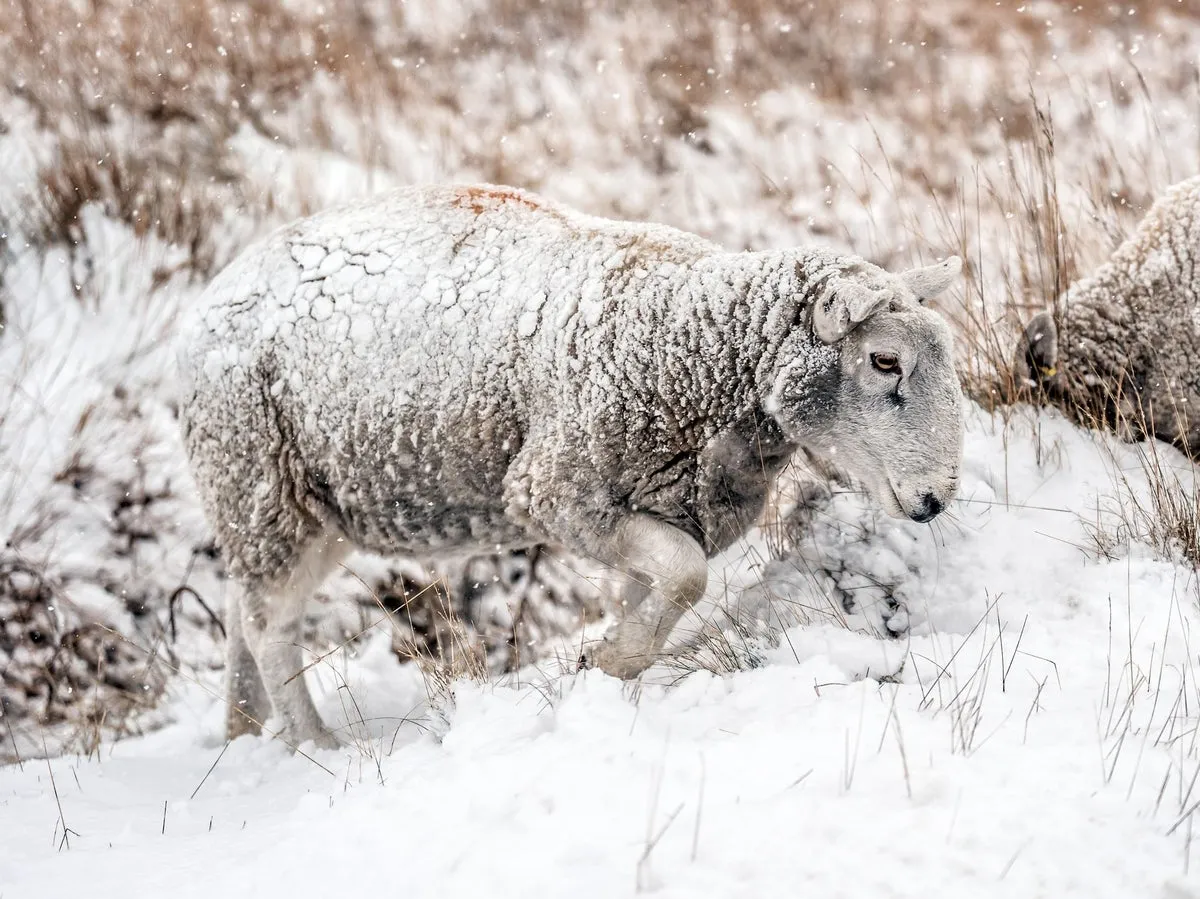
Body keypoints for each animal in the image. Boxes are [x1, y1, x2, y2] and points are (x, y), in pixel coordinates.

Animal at [177, 182, 964, 744]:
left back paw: (245, 732)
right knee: (270, 627)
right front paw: (613, 660)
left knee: (241, 612)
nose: (936, 498)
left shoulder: (668, 508)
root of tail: (208, 299)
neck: (691, 344)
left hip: (299, 506)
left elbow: (658, 589)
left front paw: (613, 663)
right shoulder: (555, 494)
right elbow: (686, 574)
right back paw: (316, 744)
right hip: (260, 481)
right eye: (883, 361)